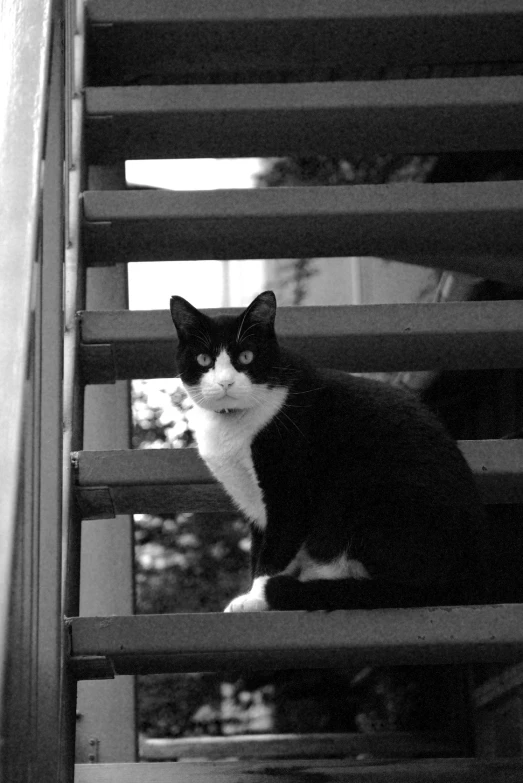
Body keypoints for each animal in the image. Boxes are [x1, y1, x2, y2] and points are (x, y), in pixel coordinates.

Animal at [170, 292, 486, 612]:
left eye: (246, 356)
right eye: (204, 359)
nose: (225, 382)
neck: (231, 425)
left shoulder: (289, 491)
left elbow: (274, 551)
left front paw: (257, 598)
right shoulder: (251, 500)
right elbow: (258, 548)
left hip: (367, 494)